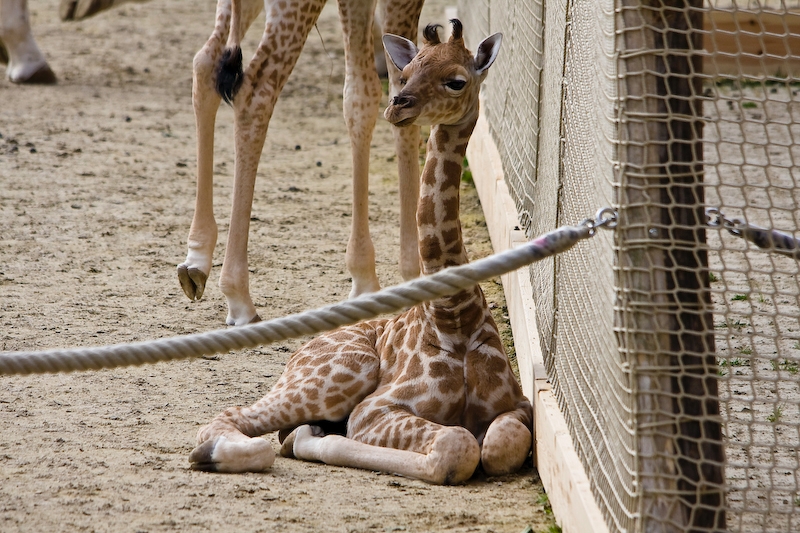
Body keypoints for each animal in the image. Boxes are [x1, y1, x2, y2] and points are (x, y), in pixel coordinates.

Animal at [176, 0, 426, 326]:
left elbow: (360, 98)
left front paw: (363, 279)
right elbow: (401, 90)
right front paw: (414, 274)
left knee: (205, 61)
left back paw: (197, 258)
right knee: (255, 93)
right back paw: (238, 296)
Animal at [188, 20, 533, 484]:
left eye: (457, 80)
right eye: (406, 73)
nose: (397, 106)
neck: (454, 315)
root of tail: (304, 347)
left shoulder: (517, 406)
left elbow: (496, 447)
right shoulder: (375, 409)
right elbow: (457, 446)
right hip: (344, 373)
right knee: (233, 418)